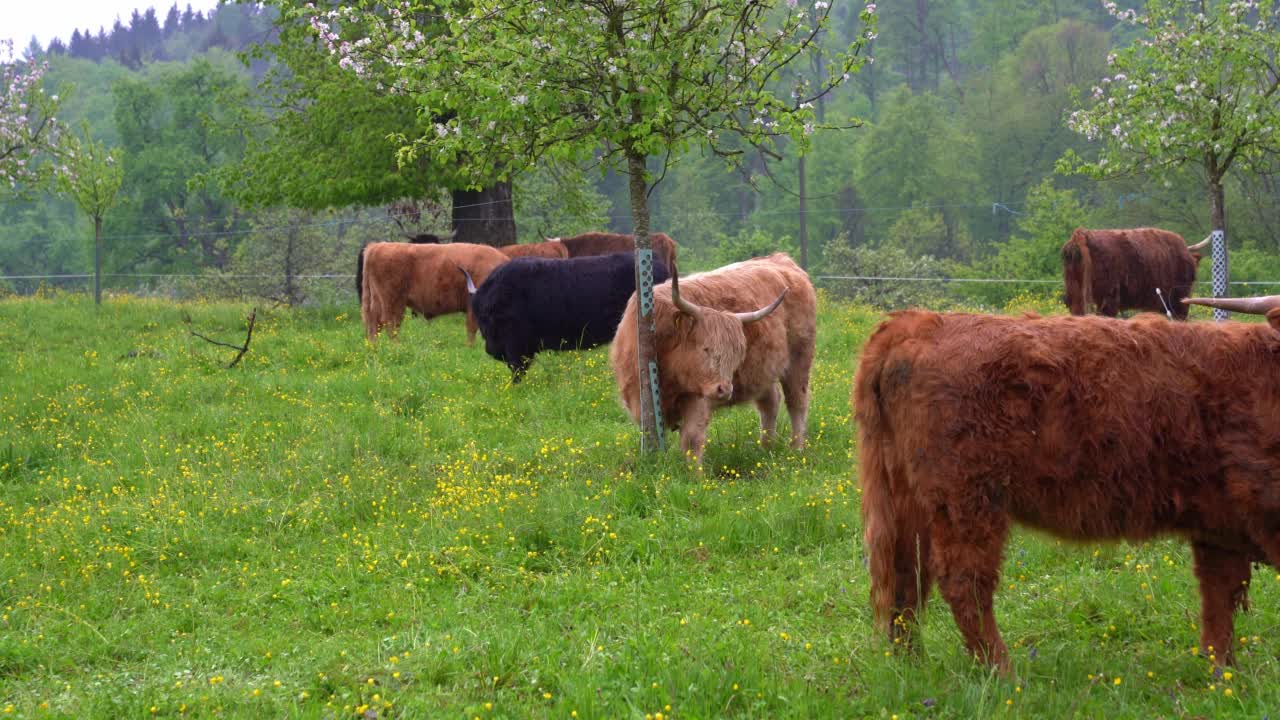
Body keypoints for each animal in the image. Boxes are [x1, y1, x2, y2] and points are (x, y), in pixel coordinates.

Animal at [358, 240, 506, 340]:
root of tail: (377, 246)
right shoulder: (473, 308)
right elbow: (472, 330)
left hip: (379, 300)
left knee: (374, 323)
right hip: (393, 302)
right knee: (390, 324)